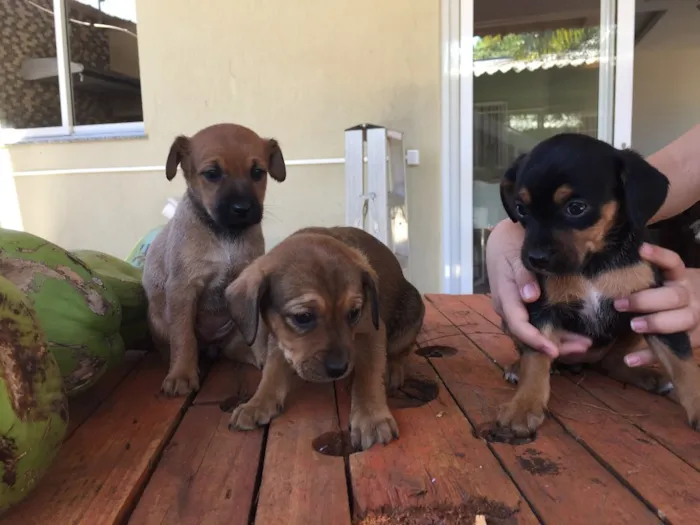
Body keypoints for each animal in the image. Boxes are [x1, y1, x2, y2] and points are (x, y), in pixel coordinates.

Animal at [144, 122, 286, 392]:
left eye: (258, 172)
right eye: (212, 173)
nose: (242, 209)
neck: (225, 236)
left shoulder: (249, 283)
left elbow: (259, 333)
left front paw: (264, 356)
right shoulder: (182, 288)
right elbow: (184, 337)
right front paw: (181, 374)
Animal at [224, 223, 424, 448]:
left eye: (354, 313)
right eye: (303, 317)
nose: (339, 369)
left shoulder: (372, 330)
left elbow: (369, 374)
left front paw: (371, 417)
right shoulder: (281, 339)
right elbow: (272, 370)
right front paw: (257, 403)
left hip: (411, 315)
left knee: (399, 353)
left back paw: (391, 370)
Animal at [498, 133, 700, 436]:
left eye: (576, 208)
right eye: (521, 209)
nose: (535, 259)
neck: (592, 266)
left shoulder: (653, 305)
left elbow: (683, 361)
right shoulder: (541, 310)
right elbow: (536, 357)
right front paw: (523, 406)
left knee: (613, 361)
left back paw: (647, 375)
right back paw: (517, 366)